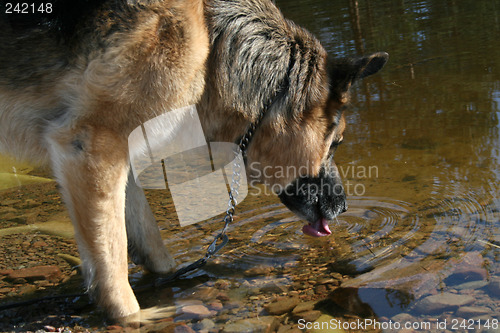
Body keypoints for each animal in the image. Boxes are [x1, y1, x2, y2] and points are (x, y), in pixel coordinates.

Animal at [0, 0, 386, 324]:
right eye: (337, 143)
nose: (345, 206)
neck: (212, 49)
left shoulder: (121, 155)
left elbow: (149, 241)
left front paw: (176, 281)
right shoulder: (93, 147)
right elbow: (111, 260)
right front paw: (133, 317)